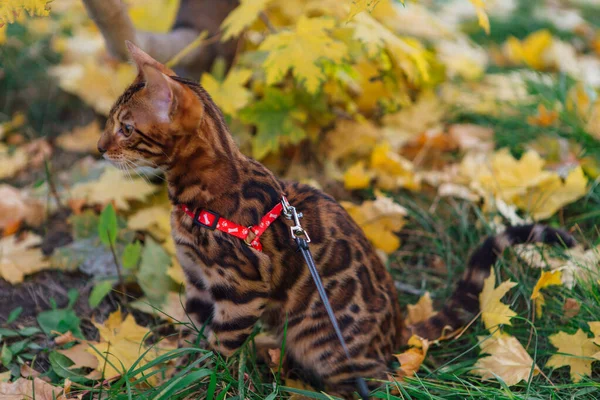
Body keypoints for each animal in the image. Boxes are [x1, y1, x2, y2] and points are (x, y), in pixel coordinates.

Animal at [98, 42, 576, 398]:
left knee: (379, 382)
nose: (99, 148)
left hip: (325, 342)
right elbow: (196, 333)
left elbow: (220, 344)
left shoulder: (240, 290)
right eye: (109, 123)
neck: (195, 191)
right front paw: (177, 370)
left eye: (125, 128)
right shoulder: (198, 281)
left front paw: (201, 380)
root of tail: (398, 329)